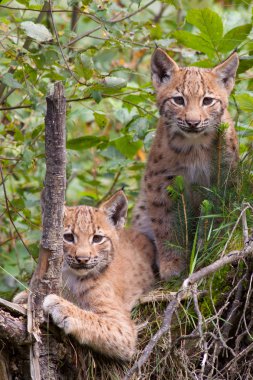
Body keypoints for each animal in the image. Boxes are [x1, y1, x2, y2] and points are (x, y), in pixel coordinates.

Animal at [42, 191, 155, 360]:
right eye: (68, 237)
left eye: (97, 238)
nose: (82, 259)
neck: (72, 276)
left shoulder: (124, 330)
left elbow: (93, 319)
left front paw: (61, 306)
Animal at [132, 48, 239, 280]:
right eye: (178, 100)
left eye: (207, 101)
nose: (193, 122)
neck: (195, 146)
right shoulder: (160, 181)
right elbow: (165, 225)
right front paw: (171, 265)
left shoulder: (222, 178)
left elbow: (216, 215)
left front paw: (210, 250)